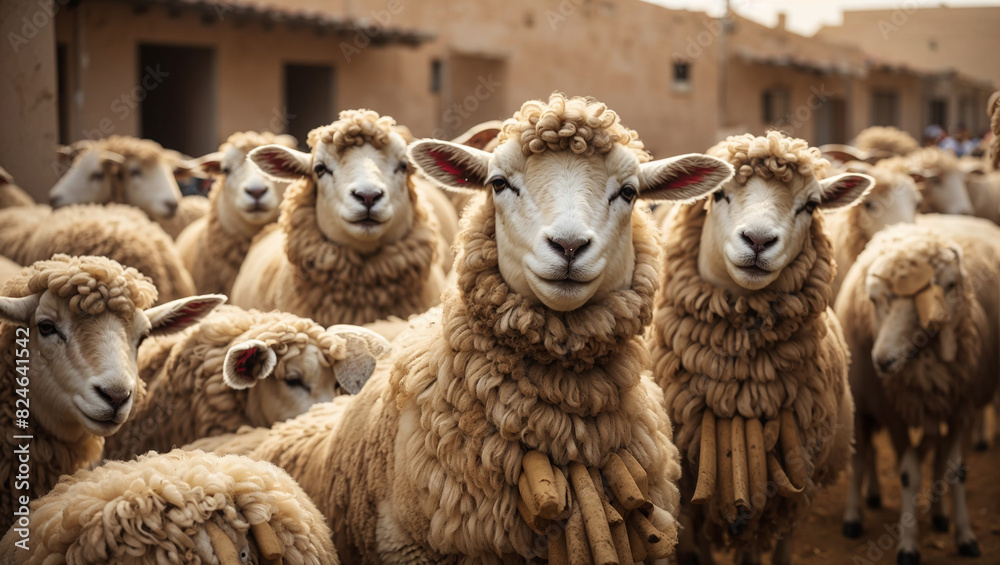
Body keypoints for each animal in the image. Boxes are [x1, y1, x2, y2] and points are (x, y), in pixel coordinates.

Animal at [650, 131, 874, 565]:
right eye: (719, 194)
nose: (757, 240)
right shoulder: (689, 497)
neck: (741, 385)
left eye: (811, 205)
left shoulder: (781, 494)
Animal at [836, 219, 1000, 564]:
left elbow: (955, 471)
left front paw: (965, 535)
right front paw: (908, 545)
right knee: (860, 456)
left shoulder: (961, 409)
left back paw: (939, 514)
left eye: (950, 285)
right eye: (874, 300)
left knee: (934, 453)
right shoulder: (892, 412)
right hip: (861, 403)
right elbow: (908, 475)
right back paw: (855, 514)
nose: (882, 360)